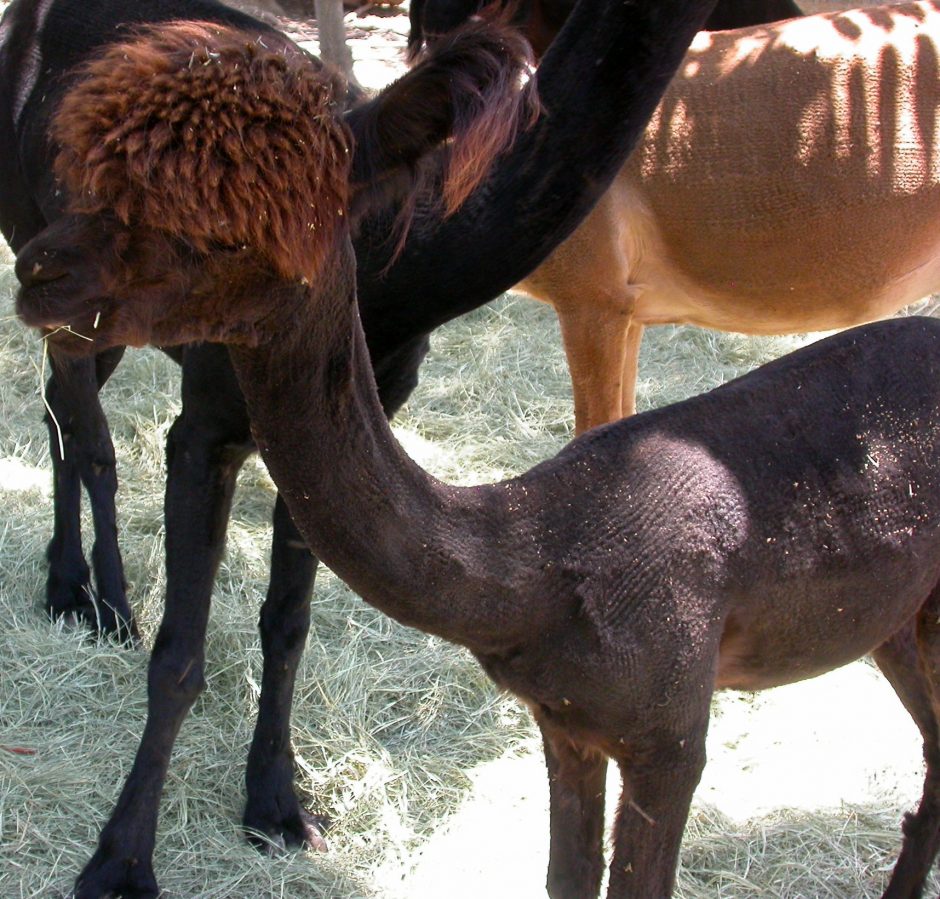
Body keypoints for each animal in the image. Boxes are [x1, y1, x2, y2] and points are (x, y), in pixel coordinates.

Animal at [17, 17, 940, 896]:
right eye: (88, 176)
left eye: (223, 231)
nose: (37, 269)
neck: (537, 557)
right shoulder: (566, 721)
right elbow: (566, 879)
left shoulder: (670, 730)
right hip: (905, 621)